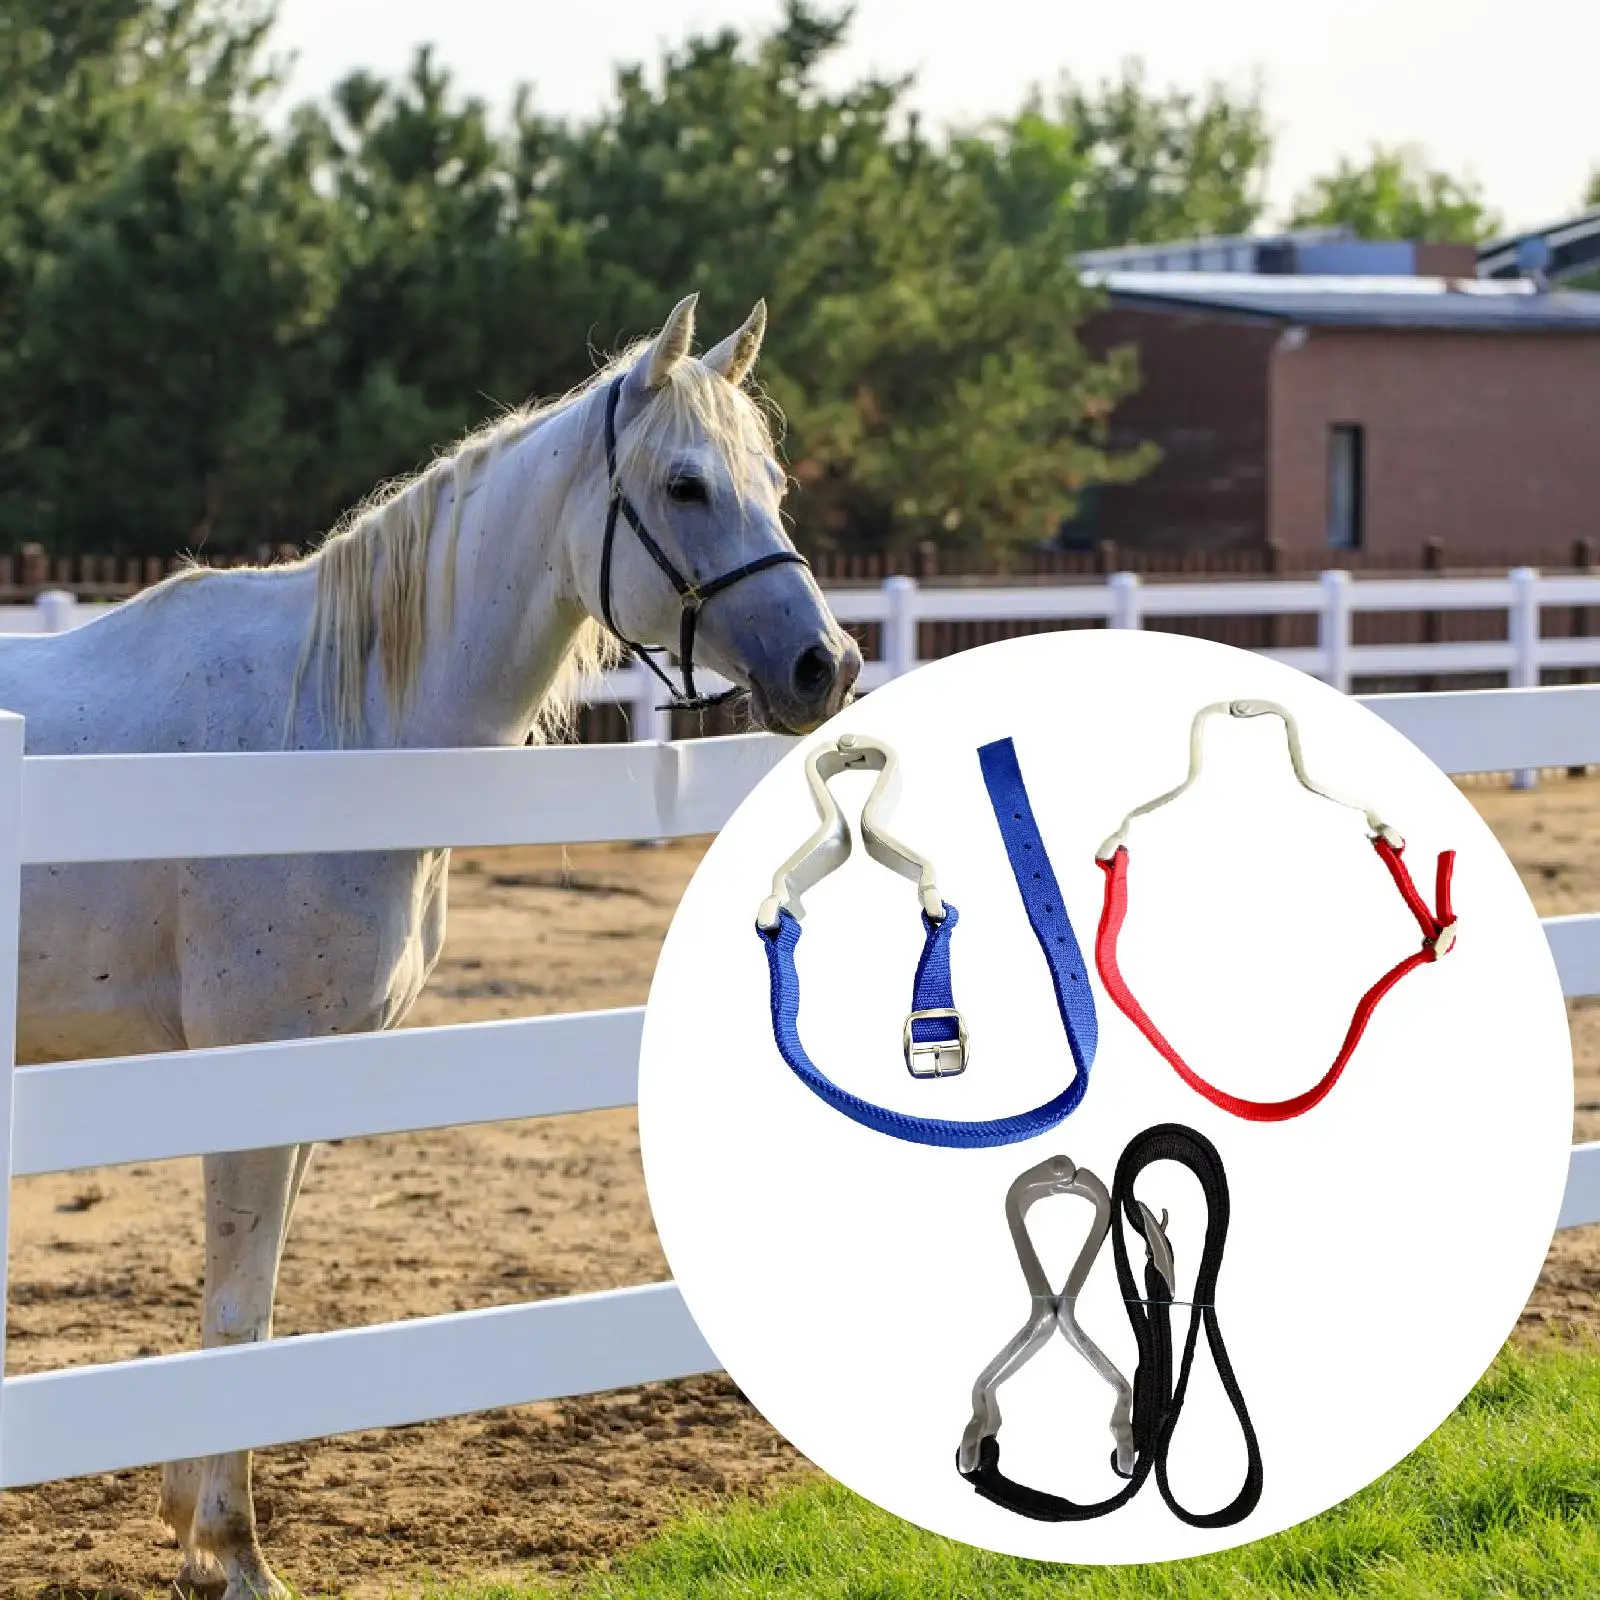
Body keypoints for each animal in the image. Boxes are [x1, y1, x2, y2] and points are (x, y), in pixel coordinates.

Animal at [0, 293, 861, 1599]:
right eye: (685, 485)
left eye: (772, 482)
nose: (827, 666)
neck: (331, 729)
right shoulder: (249, 1075)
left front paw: (198, 1530)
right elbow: (238, 1314)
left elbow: (250, 1307)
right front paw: (233, 1552)